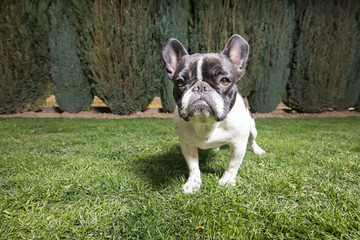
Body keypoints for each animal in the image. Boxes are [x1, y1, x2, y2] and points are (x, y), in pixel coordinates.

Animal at [162, 34, 266, 194]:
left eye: (224, 81)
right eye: (179, 83)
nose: (200, 87)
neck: (206, 122)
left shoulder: (238, 143)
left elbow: (232, 165)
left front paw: (227, 181)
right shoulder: (186, 144)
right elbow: (193, 166)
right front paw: (193, 183)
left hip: (252, 128)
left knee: (253, 140)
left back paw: (258, 150)